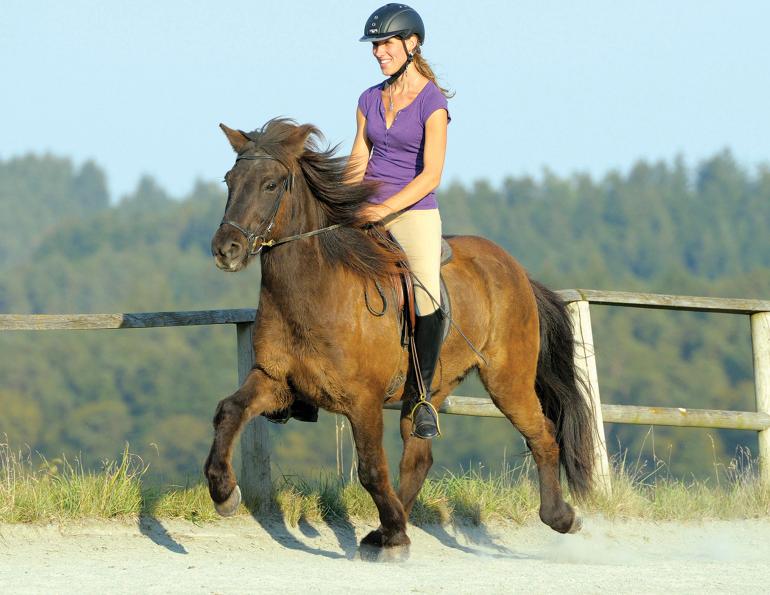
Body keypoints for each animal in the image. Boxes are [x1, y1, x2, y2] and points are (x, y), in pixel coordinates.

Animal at [204, 118, 595, 549]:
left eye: (271, 184)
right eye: (230, 180)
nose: (226, 249)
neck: (315, 292)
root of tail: (517, 271)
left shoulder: (364, 400)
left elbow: (371, 468)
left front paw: (394, 535)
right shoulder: (275, 379)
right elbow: (229, 411)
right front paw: (223, 492)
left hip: (507, 381)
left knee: (542, 435)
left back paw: (560, 517)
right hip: (429, 388)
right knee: (419, 456)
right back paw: (389, 528)